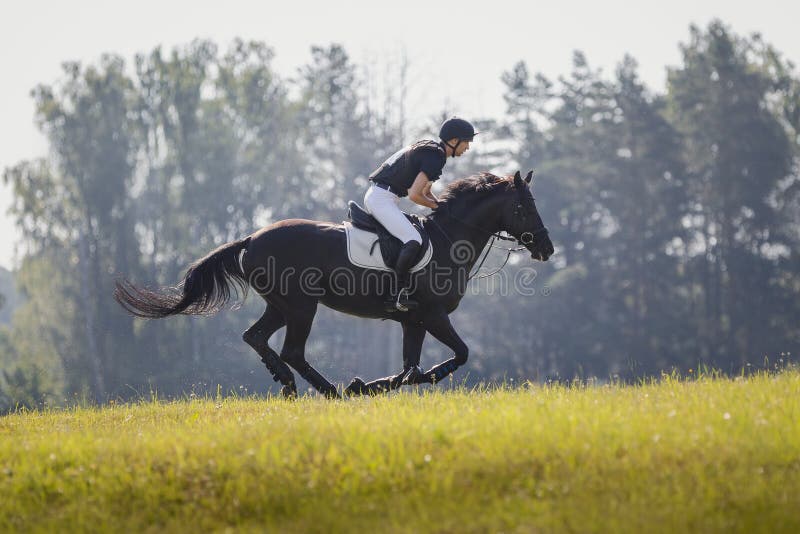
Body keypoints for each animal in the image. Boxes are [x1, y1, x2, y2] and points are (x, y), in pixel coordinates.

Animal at [114, 171, 552, 398]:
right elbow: (457, 355)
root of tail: (251, 238)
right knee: (291, 350)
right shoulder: (432, 314)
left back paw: (289, 384)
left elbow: (411, 369)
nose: (547, 248)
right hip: (301, 307)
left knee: (256, 337)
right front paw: (362, 386)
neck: (447, 240)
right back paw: (329, 391)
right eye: (524, 206)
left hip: (282, 306)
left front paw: (370, 385)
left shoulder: (413, 321)